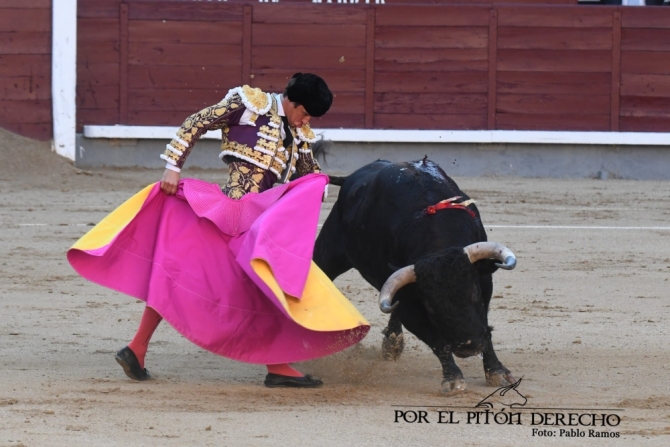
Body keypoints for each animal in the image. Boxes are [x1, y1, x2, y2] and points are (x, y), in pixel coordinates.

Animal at [316, 161, 520, 396]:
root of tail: (350, 177)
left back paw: (392, 345)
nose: (468, 346)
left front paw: (497, 372)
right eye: (430, 307)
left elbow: (486, 329)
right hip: (328, 254)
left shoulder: (484, 286)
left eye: (474, 293)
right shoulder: (410, 306)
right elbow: (436, 341)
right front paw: (453, 379)